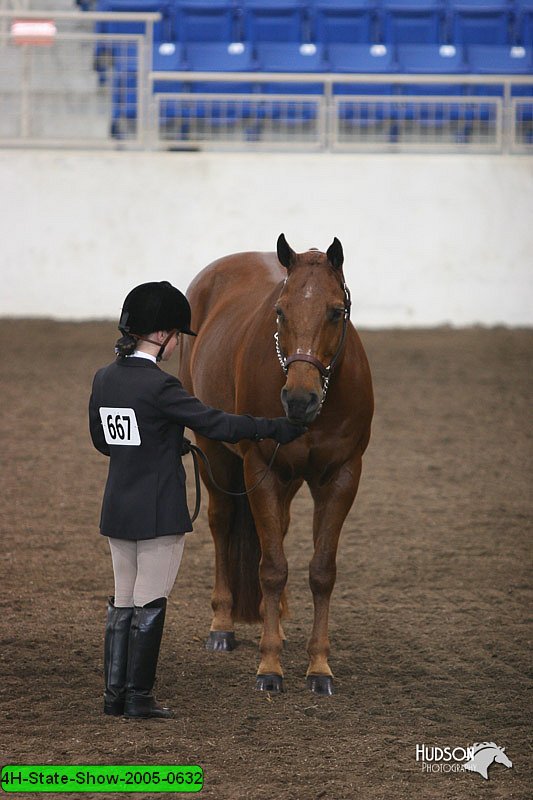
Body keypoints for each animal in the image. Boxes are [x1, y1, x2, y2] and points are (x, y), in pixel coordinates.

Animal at [179, 233, 374, 692]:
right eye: (281, 311)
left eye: (336, 311)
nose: (300, 400)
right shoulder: (260, 471)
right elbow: (271, 568)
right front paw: (269, 667)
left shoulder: (342, 476)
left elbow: (321, 571)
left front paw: (319, 667)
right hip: (214, 451)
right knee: (221, 523)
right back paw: (222, 625)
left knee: (278, 530)